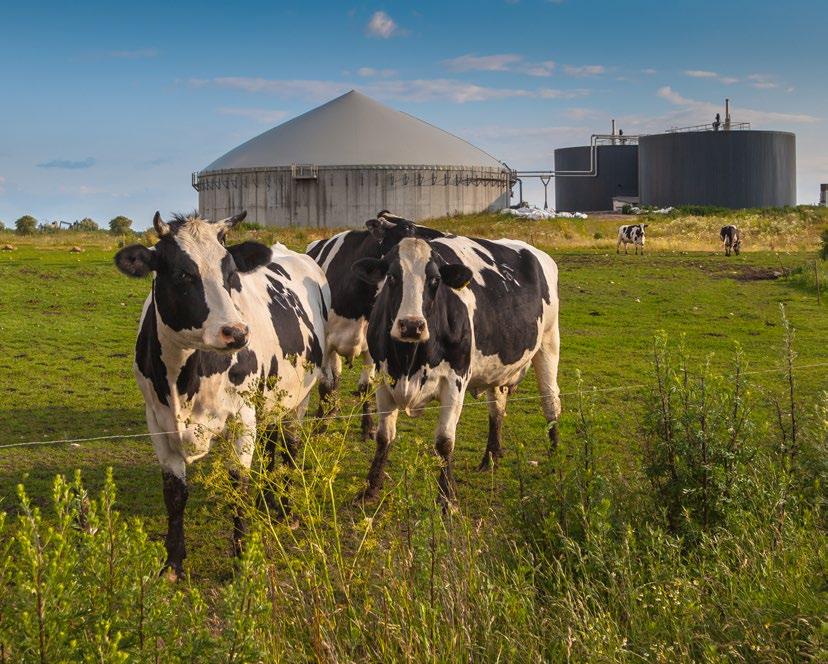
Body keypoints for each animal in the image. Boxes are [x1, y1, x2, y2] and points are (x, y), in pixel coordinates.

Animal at [116, 211, 330, 576]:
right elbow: (174, 493)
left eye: (230, 273)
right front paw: (173, 563)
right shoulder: (157, 422)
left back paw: (285, 510)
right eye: (183, 273)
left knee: (290, 447)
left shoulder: (242, 417)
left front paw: (242, 560)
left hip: (298, 397)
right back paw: (268, 499)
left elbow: (237, 486)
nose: (236, 332)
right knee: (272, 443)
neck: (183, 380)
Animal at [306, 208, 446, 436]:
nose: (442, 237)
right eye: (409, 228)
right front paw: (320, 424)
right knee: (334, 378)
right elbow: (326, 383)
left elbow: (366, 386)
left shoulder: (372, 345)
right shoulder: (325, 343)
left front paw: (368, 426)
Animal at [352, 233, 560, 504]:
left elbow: (444, 442)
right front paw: (370, 489)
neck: (409, 362)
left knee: (550, 402)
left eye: (435, 280)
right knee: (497, 409)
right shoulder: (383, 379)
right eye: (393, 277)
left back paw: (554, 458)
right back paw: (490, 458)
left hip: (549, 342)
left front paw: (447, 498)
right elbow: (383, 437)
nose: (411, 325)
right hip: (499, 370)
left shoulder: (455, 381)